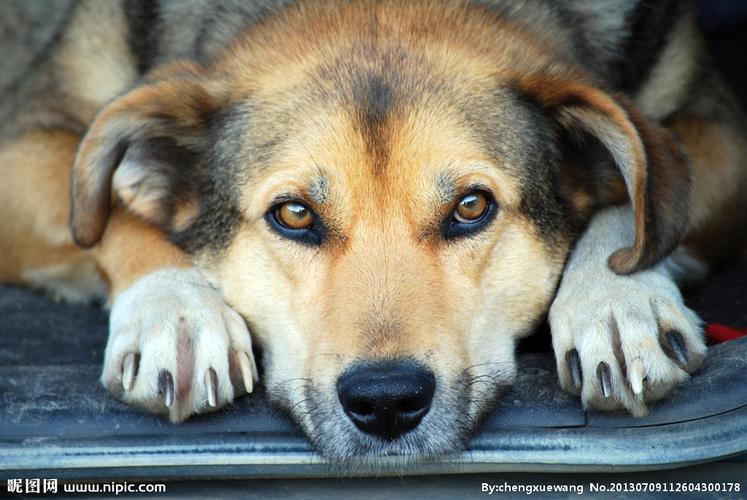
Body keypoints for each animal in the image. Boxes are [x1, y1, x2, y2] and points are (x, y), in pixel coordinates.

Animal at [1, 0, 747, 460]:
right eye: (294, 214)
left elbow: (642, 193)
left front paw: (616, 303)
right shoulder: (24, 149)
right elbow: (106, 215)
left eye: (471, 207)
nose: (385, 402)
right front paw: (175, 313)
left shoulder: (720, 132)